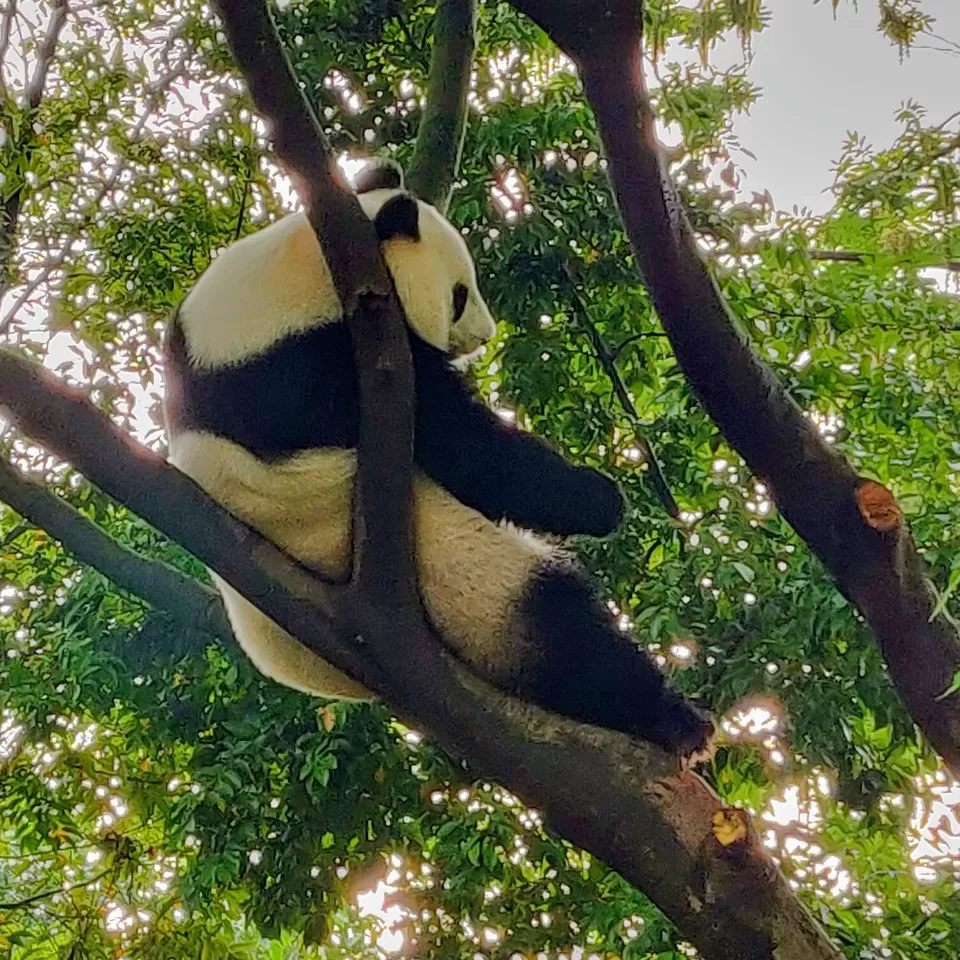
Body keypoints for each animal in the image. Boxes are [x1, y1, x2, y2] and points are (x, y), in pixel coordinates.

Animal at [163, 159, 712, 758]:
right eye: (459, 294)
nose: (485, 336)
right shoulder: (319, 365)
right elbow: (467, 447)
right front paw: (599, 499)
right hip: (450, 570)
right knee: (555, 626)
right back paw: (676, 721)